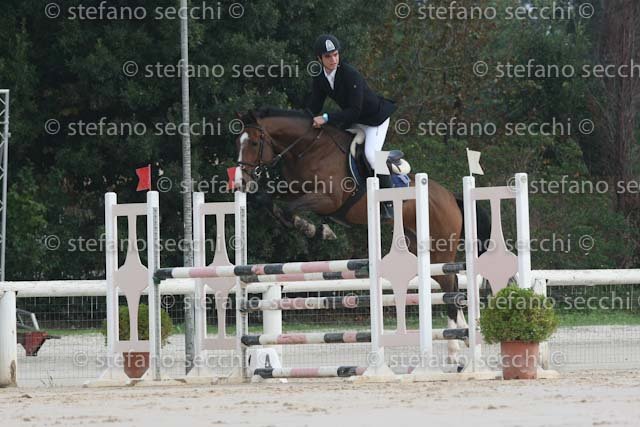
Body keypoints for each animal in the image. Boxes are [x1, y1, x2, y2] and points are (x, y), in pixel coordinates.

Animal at [235, 107, 489, 367]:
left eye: (253, 142)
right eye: (238, 142)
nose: (241, 181)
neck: (308, 149)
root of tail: (450, 197)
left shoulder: (328, 199)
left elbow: (288, 209)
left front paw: (313, 229)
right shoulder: (292, 191)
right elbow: (268, 201)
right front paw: (308, 227)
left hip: (439, 247)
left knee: (450, 285)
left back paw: (454, 351)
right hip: (422, 250)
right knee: (452, 283)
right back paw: (464, 337)